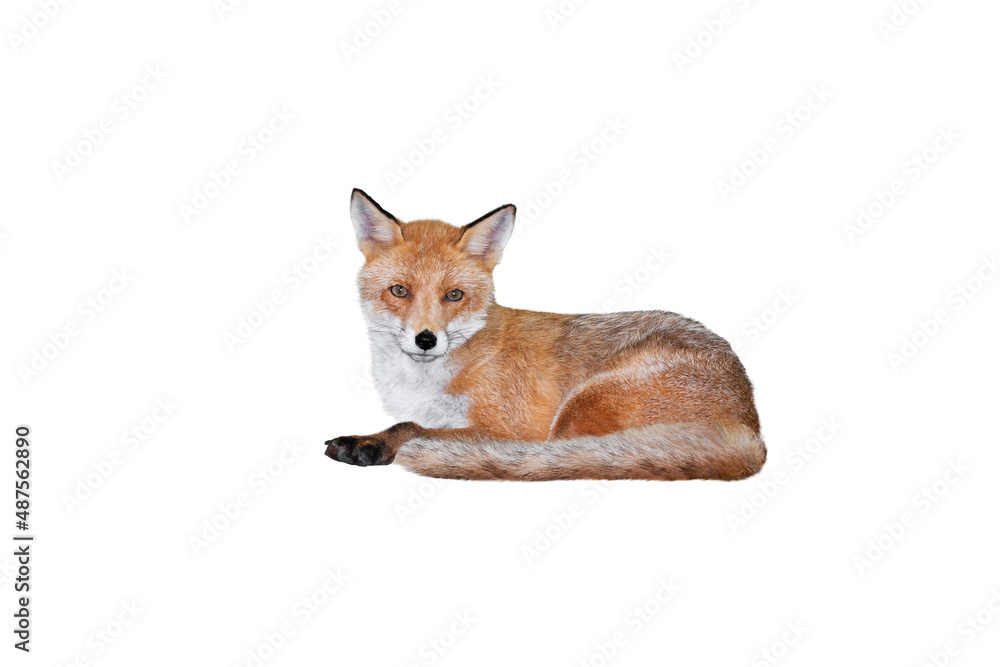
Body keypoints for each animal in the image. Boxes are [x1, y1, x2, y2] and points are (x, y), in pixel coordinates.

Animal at [324, 189, 766, 481]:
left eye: (454, 295)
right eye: (399, 291)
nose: (426, 339)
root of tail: (752, 428)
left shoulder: (508, 430)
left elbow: (411, 427)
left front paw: (371, 443)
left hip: (579, 409)